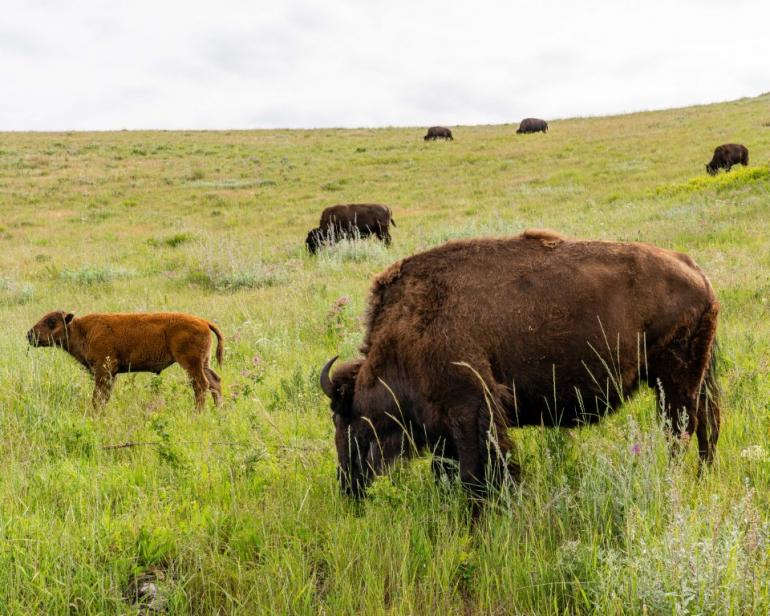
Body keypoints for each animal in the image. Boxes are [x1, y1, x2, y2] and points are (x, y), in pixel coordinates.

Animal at [27, 312, 224, 410]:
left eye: (52, 321)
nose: (30, 334)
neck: (81, 329)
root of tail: (204, 322)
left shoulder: (103, 370)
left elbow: (98, 396)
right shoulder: (110, 374)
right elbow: (104, 396)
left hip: (191, 364)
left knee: (201, 385)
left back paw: (197, 413)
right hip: (204, 362)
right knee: (214, 382)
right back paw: (219, 411)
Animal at [318, 230, 720, 500]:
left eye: (344, 419)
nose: (346, 486)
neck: (407, 328)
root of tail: (696, 272)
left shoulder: (470, 411)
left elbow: (476, 472)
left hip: (675, 381)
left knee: (679, 431)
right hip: (693, 379)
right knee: (707, 426)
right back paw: (702, 478)